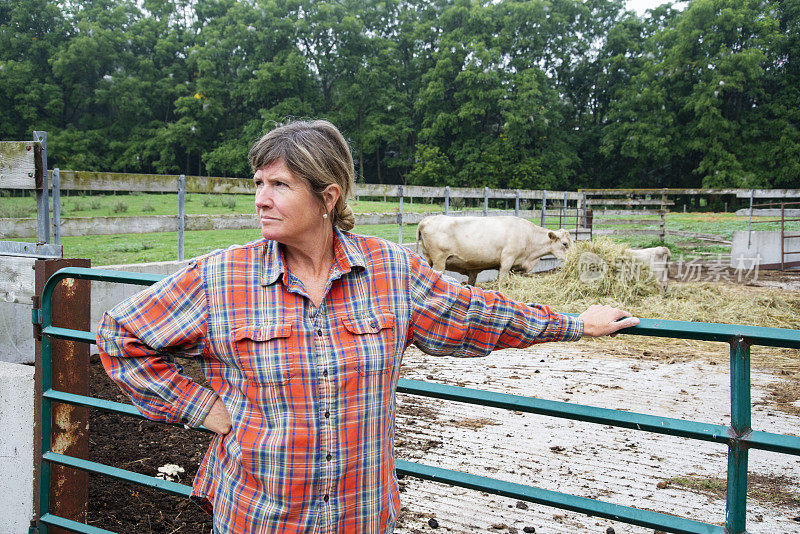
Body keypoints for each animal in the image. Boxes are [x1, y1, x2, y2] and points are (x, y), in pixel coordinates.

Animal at [416, 216, 572, 286]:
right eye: (565, 244)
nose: (573, 260)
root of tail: (426, 220)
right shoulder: (507, 260)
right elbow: (501, 280)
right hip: (439, 261)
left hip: (428, 258)